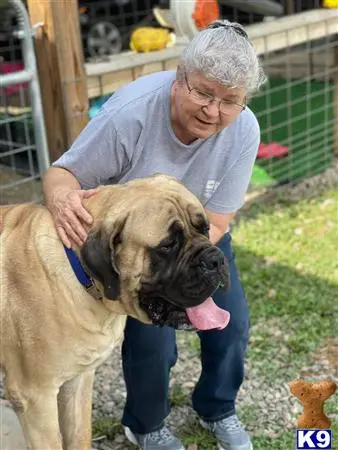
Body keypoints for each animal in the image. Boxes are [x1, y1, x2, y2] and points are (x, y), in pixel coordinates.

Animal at [0, 175, 230, 450]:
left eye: (205, 229)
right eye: (168, 245)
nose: (216, 259)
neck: (82, 276)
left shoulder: (78, 380)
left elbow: (79, 434)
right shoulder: (36, 397)